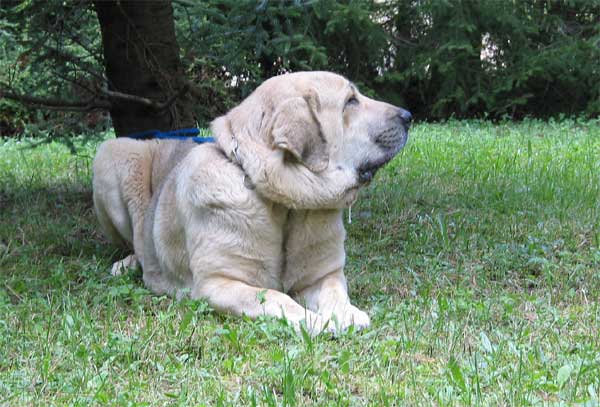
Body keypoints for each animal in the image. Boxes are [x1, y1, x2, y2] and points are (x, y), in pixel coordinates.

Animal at [92, 72, 412, 334]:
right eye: (350, 102)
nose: (409, 115)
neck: (286, 203)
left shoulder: (324, 275)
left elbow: (334, 292)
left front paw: (346, 314)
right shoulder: (217, 283)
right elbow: (274, 297)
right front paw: (313, 321)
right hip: (114, 153)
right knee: (133, 241)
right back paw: (128, 263)